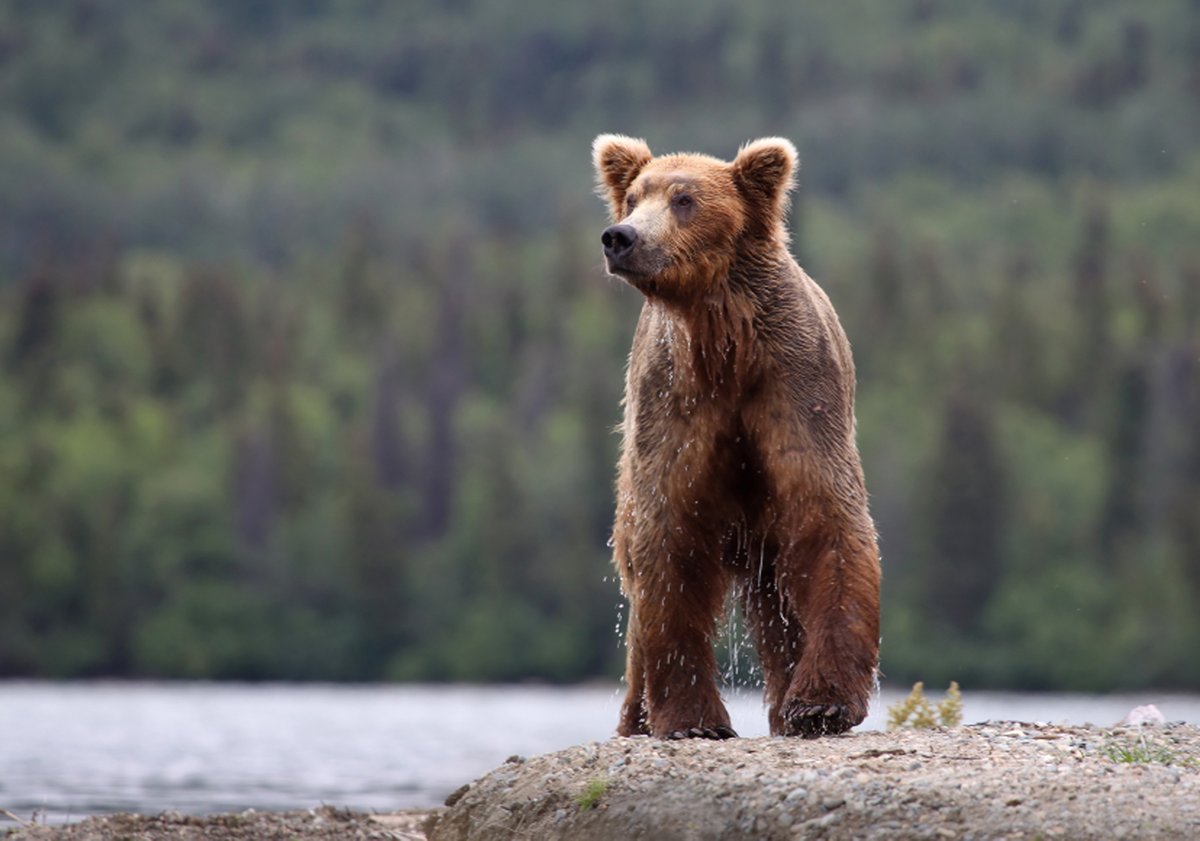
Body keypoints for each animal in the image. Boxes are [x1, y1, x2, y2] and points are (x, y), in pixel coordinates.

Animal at [592, 134, 883, 739]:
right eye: (633, 197)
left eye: (684, 199)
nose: (621, 237)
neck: (723, 341)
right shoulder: (676, 405)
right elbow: (669, 544)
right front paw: (692, 719)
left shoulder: (795, 388)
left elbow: (829, 519)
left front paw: (820, 704)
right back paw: (636, 719)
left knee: (778, 609)